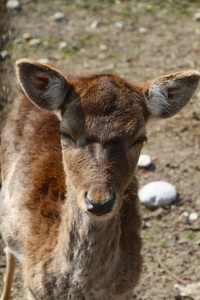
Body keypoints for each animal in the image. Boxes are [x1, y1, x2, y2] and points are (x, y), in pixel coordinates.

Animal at [0, 59, 200, 300]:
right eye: (66, 133)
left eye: (140, 138)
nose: (99, 202)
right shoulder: (34, 290)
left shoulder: (127, 289)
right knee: (8, 249)